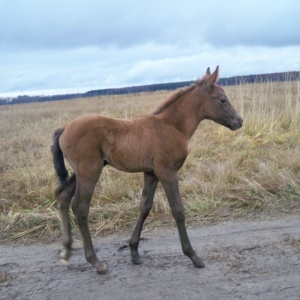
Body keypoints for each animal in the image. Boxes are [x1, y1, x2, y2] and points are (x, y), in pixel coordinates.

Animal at [51, 67, 243, 274]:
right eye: (222, 100)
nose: (239, 121)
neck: (171, 126)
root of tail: (64, 128)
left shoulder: (151, 173)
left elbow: (144, 207)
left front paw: (134, 252)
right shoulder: (167, 172)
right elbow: (178, 210)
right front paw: (193, 256)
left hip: (82, 172)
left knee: (62, 196)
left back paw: (66, 251)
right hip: (89, 171)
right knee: (80, 207)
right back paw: (96, 262)